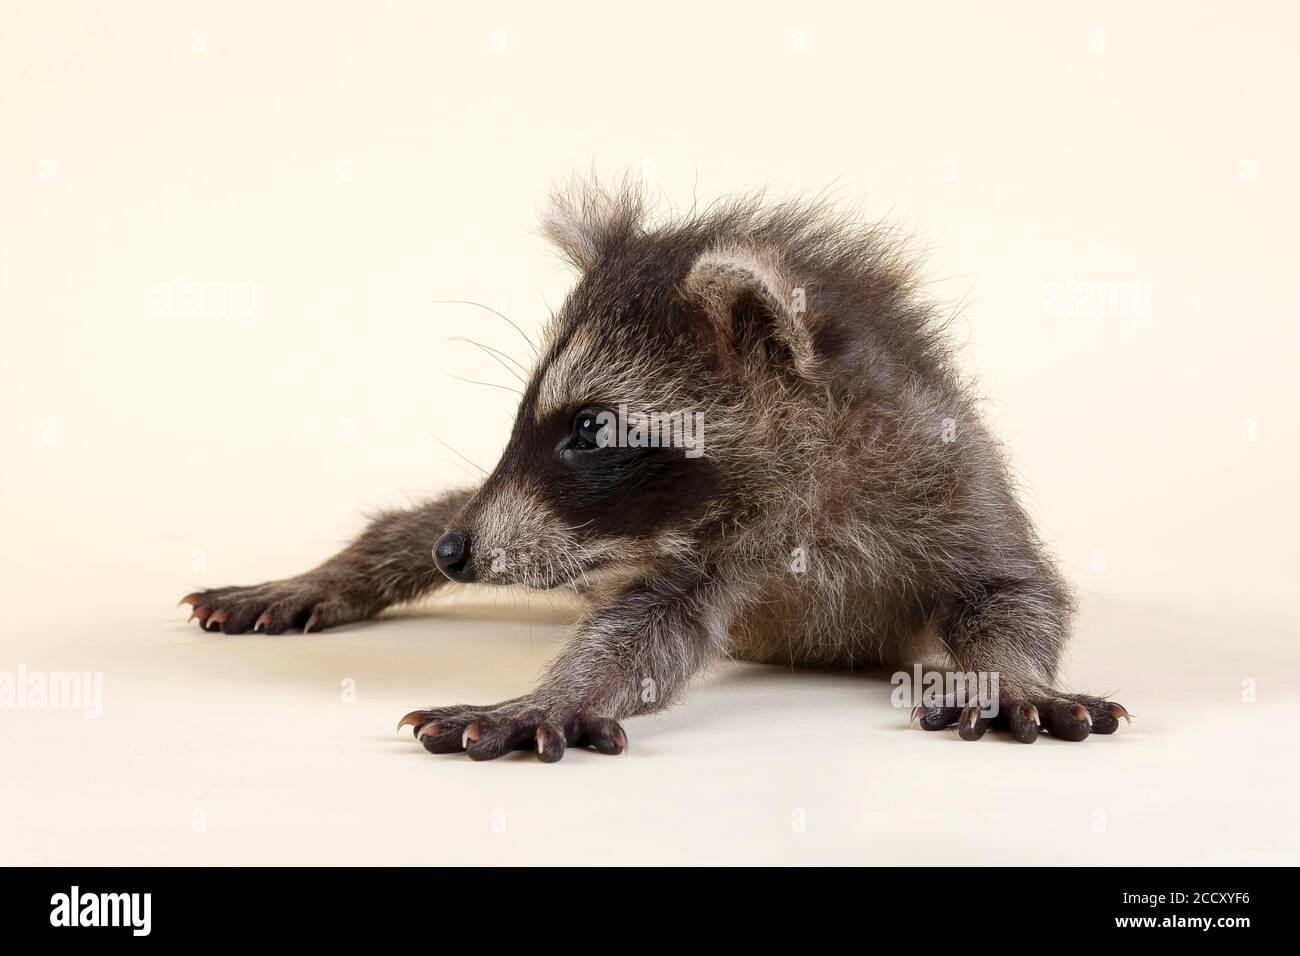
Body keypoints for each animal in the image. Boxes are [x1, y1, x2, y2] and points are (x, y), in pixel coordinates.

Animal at [180, 178, 1128, 764]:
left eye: (589, 428)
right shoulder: (689, 549)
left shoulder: (947, 474)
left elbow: (1016, 593)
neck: (804, 490)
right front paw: (558, 692)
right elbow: (641, 632)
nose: (456, 552)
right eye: (528, 419)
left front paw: (1009, 674)